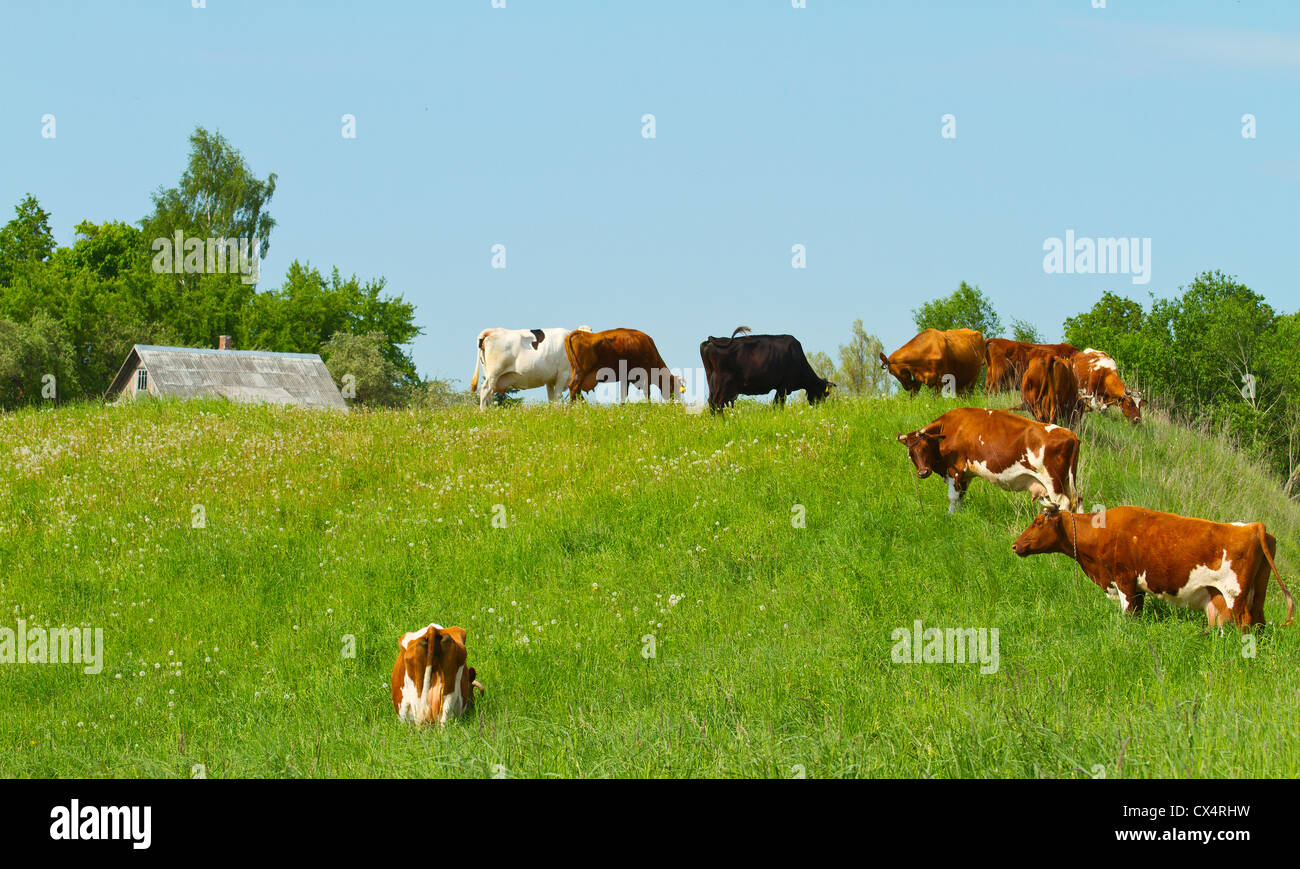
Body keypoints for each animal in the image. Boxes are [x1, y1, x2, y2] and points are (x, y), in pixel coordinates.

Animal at [699, 327, 834, 412]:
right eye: (825, 394)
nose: (819, 409)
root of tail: (712, 339)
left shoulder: (781, 387)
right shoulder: (783, 387)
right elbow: (778, 405)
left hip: (712, 381)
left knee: (711, 402)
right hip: (724, 382)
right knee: (717, 403)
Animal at [896, 408, 1080, 514]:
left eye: (926, 447)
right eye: (911, 453)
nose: (923, 472)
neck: (950, 429)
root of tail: (1070, 434)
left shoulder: (955, 471)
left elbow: (952, 499)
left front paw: (950, 518)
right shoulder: (965, 476)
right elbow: (960, 498)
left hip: (1053, 482)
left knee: (1064, 503)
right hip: (1066, 481)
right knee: (1078, 501)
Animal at [1012, 505, 1295, 629]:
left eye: (1038, 522)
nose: (1015, 546)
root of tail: (1253, 526)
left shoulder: (1125, 580)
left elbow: (1129, 613)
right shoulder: (1136, 587)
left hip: (1235, 594)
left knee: (1243, 622)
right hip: (1256, 593)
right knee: (1257, 620)